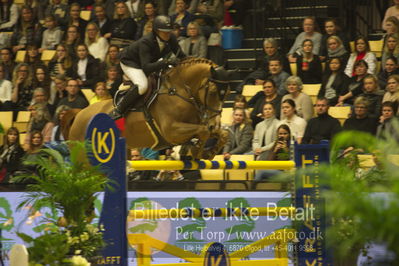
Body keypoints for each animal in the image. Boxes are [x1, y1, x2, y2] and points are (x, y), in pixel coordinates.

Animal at [67, 57, 233, 159]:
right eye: (213, 92)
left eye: (227, 93)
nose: (214, 124)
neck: (179, 91)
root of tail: (78, 116)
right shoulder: (172, 131)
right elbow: (203, 132)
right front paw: (196, 151)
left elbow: (222, 134)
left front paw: (206, 153)